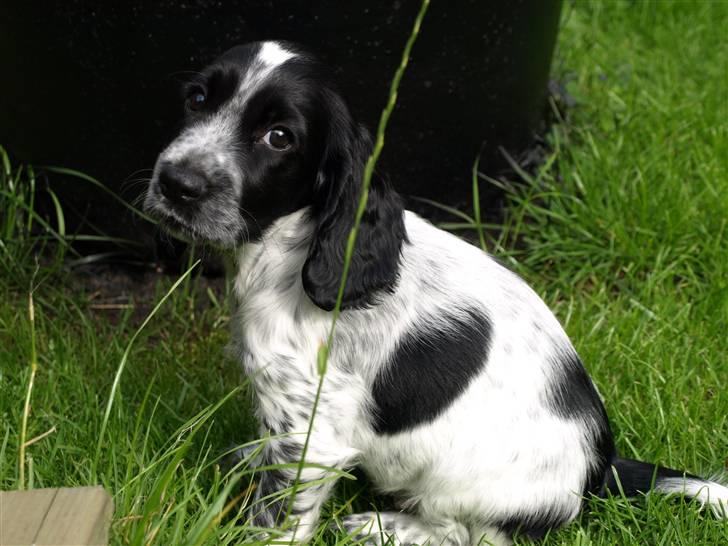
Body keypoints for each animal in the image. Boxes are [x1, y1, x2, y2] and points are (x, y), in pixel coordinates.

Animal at [144, 40, 728, 540]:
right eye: (197, 99)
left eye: (280, 137)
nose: (176, 183)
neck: (288, 249)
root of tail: (599, 470)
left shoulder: (312, 437)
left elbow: (277, 517)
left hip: (457, 484)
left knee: (463, 533)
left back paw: (384, 526)